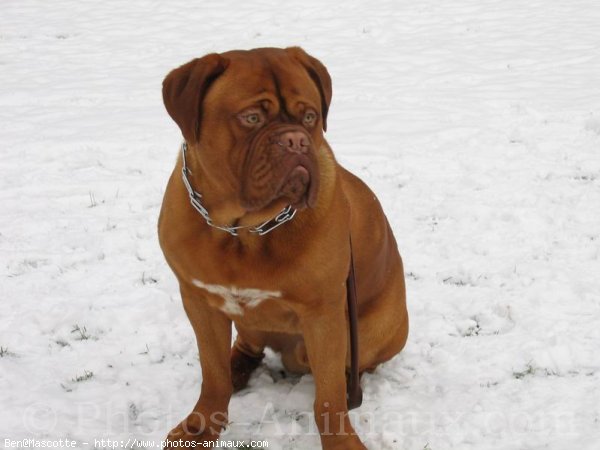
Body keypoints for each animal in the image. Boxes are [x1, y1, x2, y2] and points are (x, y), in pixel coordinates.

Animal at [158, 47, 408, 448]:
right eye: (251, 118)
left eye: (309, 116)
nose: (296, 141)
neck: (243, 230)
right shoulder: (199, 302)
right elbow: (212, 374)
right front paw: (201, 427)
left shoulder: (324, 314)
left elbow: (329, 398)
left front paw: (341, 441)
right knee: (245, 348)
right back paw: (237, 368)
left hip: (361, 333)